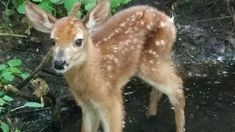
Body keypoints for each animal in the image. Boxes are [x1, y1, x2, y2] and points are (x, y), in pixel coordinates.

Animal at [25, 0, 184, 131]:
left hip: (150, 62)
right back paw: (151, 113)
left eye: (78, 41)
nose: (59, 63)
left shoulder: (112, 100)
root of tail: (169, 21)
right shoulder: (87, 107)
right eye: (52, 41)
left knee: (176, 84)